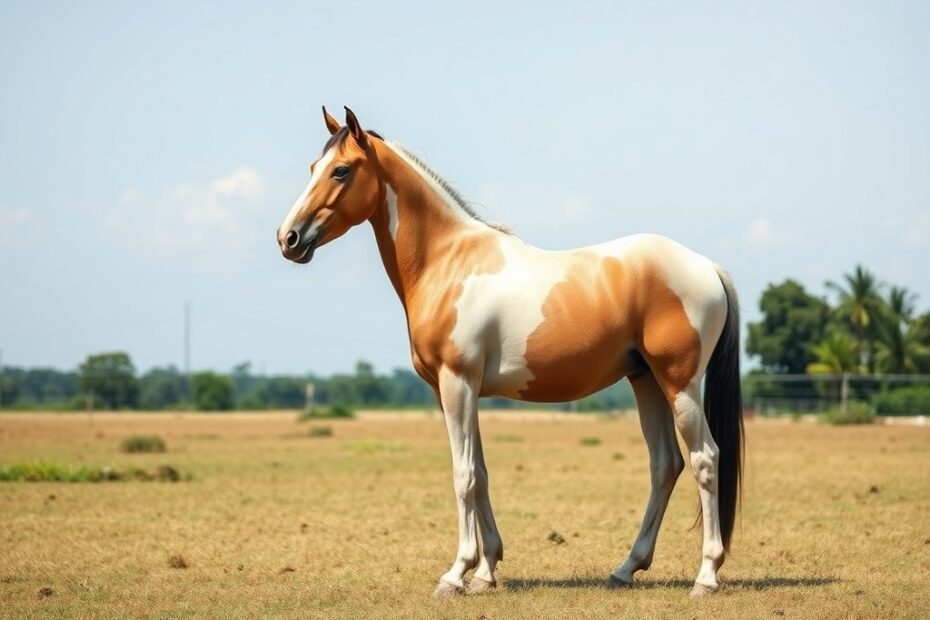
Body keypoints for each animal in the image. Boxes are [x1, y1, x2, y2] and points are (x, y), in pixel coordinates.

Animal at [276, 107, 744, 598]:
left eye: (341, 170)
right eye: (314, 167)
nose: (289, 239)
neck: (449, 264)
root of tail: (707, 266)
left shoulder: (457, 383)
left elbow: (463, 476)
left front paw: (454, 575)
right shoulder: (456, 392)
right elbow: (480, 474)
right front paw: (485, 572)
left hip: (680, 384)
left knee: (705, 459)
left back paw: (706, 576)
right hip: (646, 380)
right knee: (665, 464)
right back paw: (625, 568)